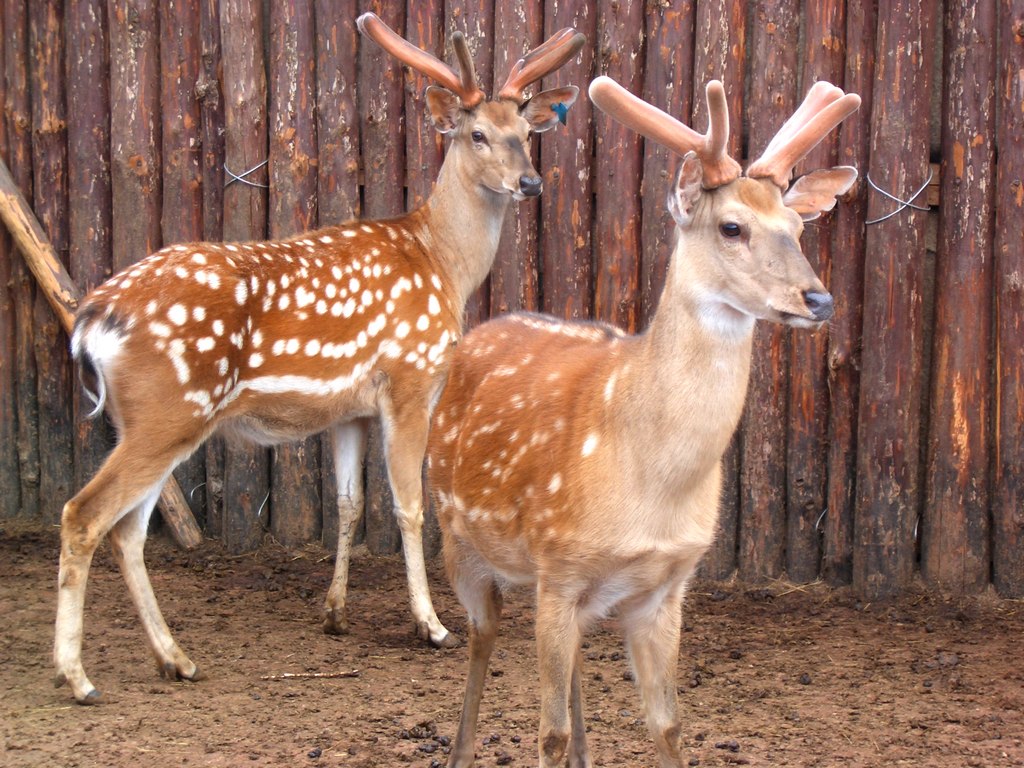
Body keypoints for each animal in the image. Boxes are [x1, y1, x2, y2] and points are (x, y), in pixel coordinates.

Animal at [54, 13, 585, 708]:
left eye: (525, 135)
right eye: (477, 134)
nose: (529, 182)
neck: (443, 262)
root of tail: (91, 320)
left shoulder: (350, 410)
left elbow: (349, 503)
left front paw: (333, 613)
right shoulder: (411, 377)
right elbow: (409, 505)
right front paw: (432, 624)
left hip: (146, 420)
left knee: (128, 530)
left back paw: (177, 660)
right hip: (167, 409)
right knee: (84, 514)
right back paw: (77, 677)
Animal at [428, 73, 860, 768]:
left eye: (798, 225)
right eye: (732, 226)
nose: (818, 299)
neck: (649, 484)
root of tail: (475, 334)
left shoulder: (667, 584)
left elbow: (668, 723)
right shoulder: (556, 565)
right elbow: (546, 734)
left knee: (571, 655)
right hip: (456, 532)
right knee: (482, 634)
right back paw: (461, 750)